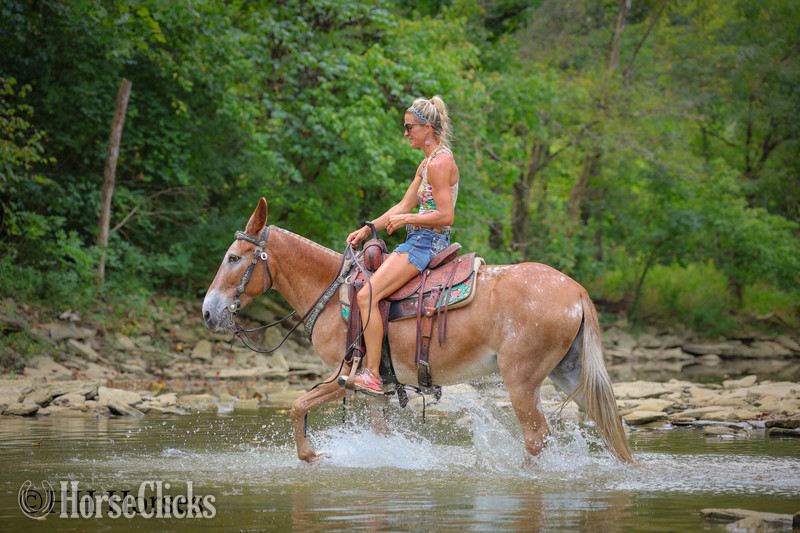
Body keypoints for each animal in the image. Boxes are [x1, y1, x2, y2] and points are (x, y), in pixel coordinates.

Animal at [202, 198, 635, 464]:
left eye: (234, 258)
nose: (208, 312)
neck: (332, 291)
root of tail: (576, 290)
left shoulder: (346, 377)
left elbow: (296, 406)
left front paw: (313, 455)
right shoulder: (374, 390)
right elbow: (376, 434)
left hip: (522, 381)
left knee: (538, 439)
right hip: (570, 373)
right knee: (611, 428)